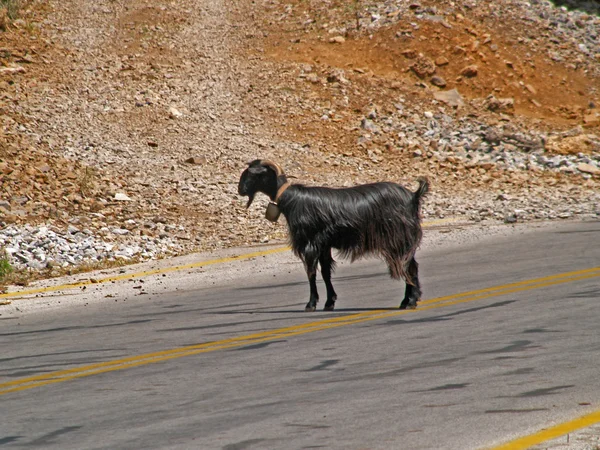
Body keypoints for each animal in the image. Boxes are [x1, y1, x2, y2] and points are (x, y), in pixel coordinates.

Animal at [237, 159, 428, 312]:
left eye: (252, 174)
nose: (240, 189)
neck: (291, 200)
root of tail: (413, 196)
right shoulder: (323, 244)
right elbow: (325, 273)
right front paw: (329, 302)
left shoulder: (310, 243)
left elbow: (311, 273)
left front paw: (311, 304)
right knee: (411, 265)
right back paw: (408, 300)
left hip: (400, 237)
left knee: (409, 267)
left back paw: (410, 301)